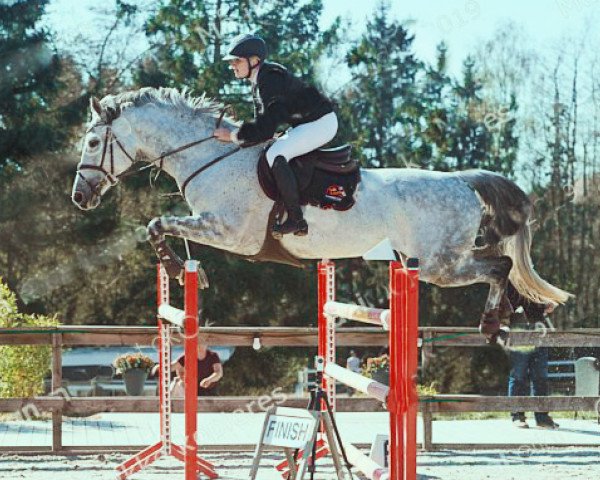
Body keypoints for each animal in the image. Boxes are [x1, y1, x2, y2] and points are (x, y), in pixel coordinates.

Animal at [71, 87, 572, 342]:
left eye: (93, 142)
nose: (79, 196)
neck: (212, 156)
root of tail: (462, 181)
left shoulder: (230, 233)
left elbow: (157, 224)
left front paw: (177, 268)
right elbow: (158, 225)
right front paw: (178, 266)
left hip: (438, 265)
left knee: (499, 265)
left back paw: (492, 319)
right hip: (435, 262)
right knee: (500, 266)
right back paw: (514, 313)